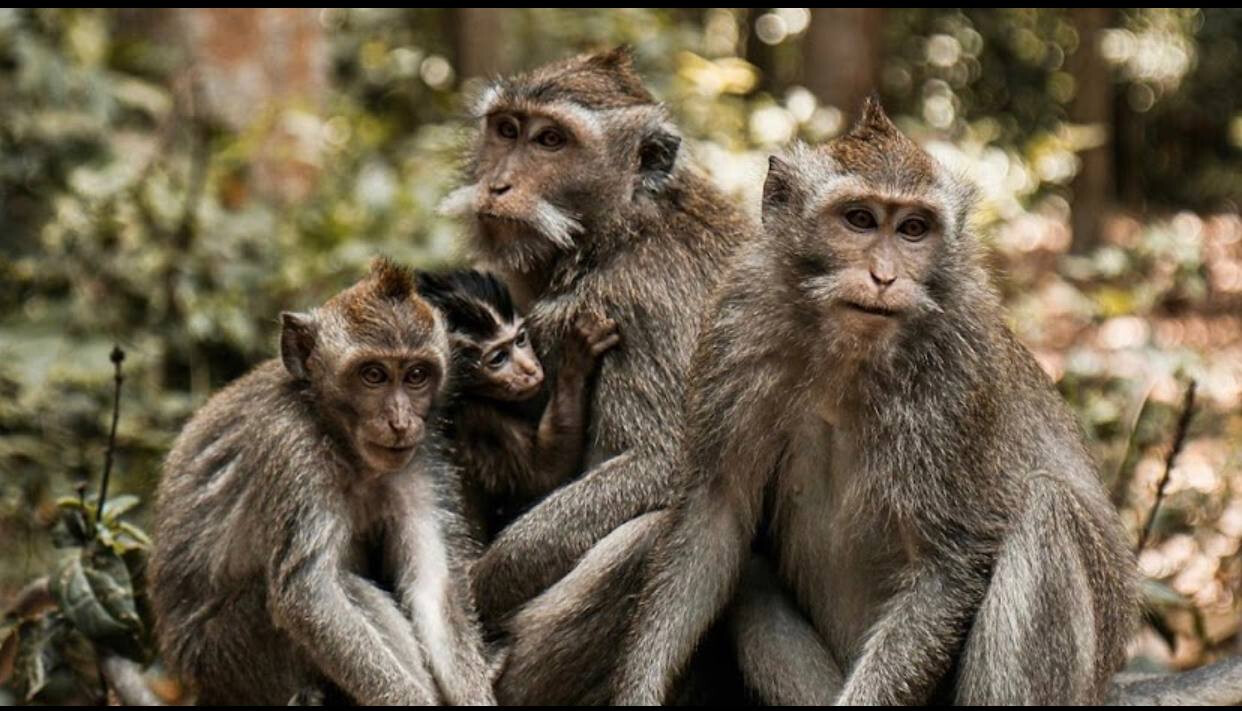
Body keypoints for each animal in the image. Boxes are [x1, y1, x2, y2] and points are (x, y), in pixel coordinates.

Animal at [148, 259, 495, 706]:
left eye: (416, 375)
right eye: (373, 375)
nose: (400, 421)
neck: (343, 444)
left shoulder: (418, 460)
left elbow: (433, 587)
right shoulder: (291, 449)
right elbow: (309, 595)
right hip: (225, 655)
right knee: (345, 589)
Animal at [414, 268, 619, 544]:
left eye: (520, 340)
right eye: (499, 358)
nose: (530, 370)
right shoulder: (478, 417)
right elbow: (543, 476)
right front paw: (575, 360)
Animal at [437, 46, 755, 702]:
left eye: (551, 141)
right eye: (507, 130)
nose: (497, 184)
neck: (618, 233)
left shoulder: (643, 306)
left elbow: (670, 463)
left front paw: (481, 587)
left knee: (647, 533)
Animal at [612, 98, 1142, 705]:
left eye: (913, 229)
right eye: (860, 220)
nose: (884, 276)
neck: (847, 356)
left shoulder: (961, 372)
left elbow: (947, 564)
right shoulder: (735, 326)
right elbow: (714, 515)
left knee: (1047, 509)